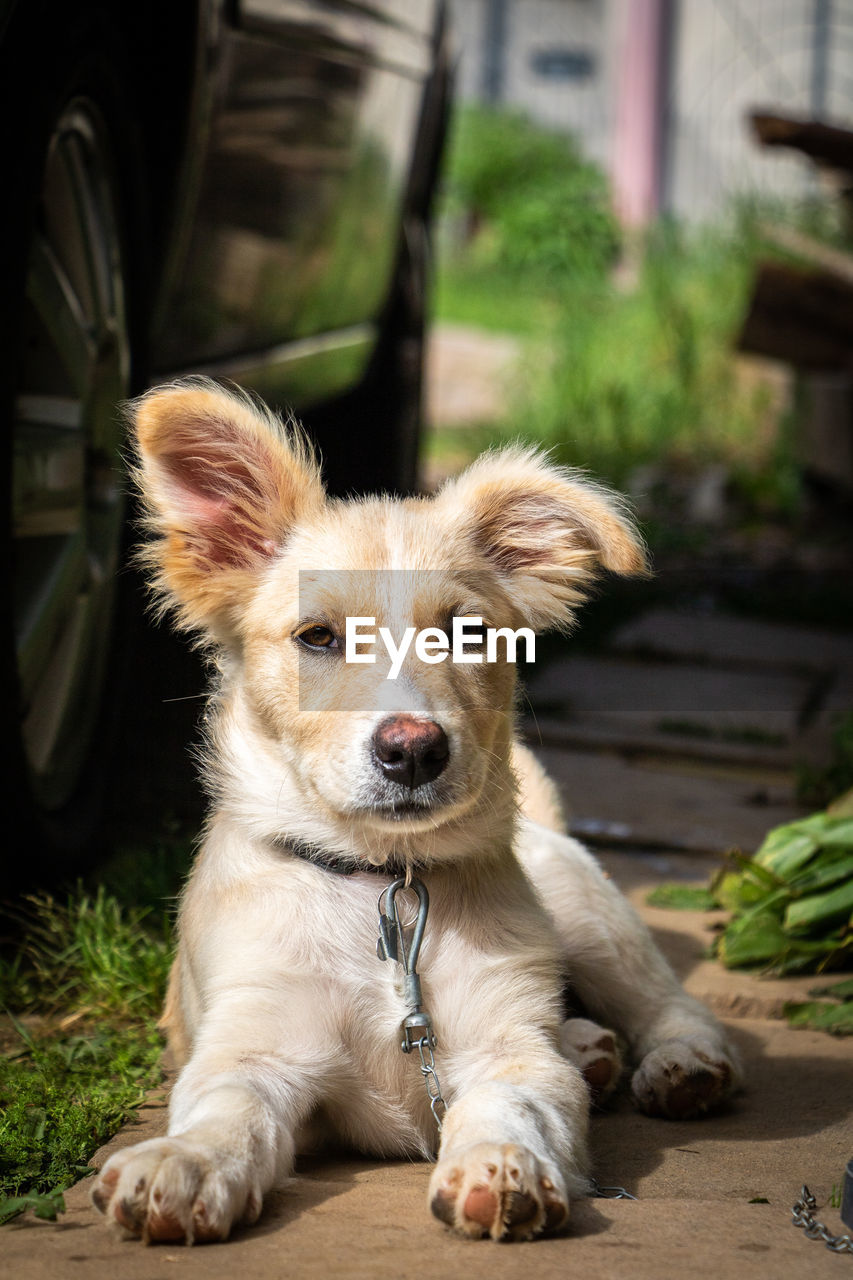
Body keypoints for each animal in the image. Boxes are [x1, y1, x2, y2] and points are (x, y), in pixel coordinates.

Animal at [89, 376, 732, 1239]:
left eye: (469, 634)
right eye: (317, 637)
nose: (414, 751)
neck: (383, 886)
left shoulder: (506, 1050)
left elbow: (513, 1102)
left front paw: (501, 1165)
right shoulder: (256, 1043)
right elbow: (228, 1112)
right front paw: (183, 1164)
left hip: (585, 912)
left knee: (667, 1000)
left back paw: (680, 1062)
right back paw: (590, 1048)